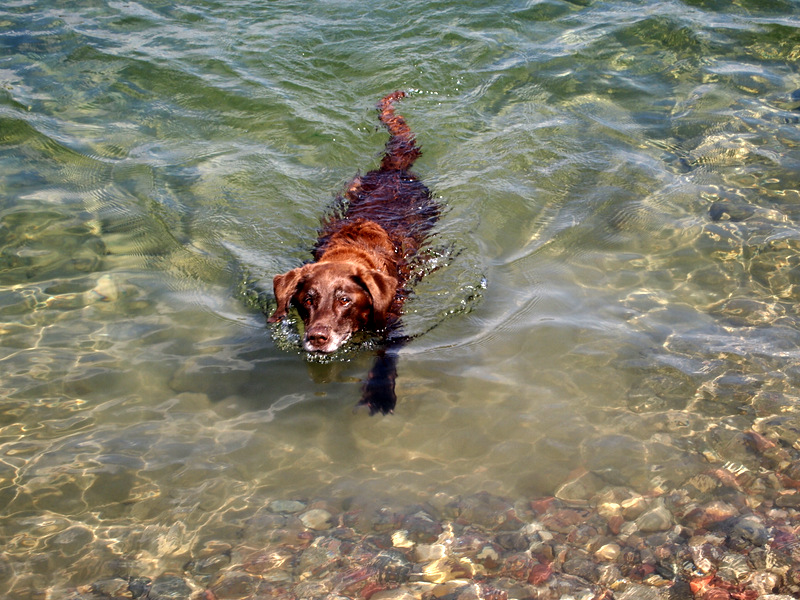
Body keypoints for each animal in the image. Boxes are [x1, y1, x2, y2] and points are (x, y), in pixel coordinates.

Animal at [272, 92, 440, 412]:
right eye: (308, 300)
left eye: (345, 300)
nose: (317, 338)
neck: (347, 254)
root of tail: (393, 170)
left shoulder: (392, 326)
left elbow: (386, 357)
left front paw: (380, 393)